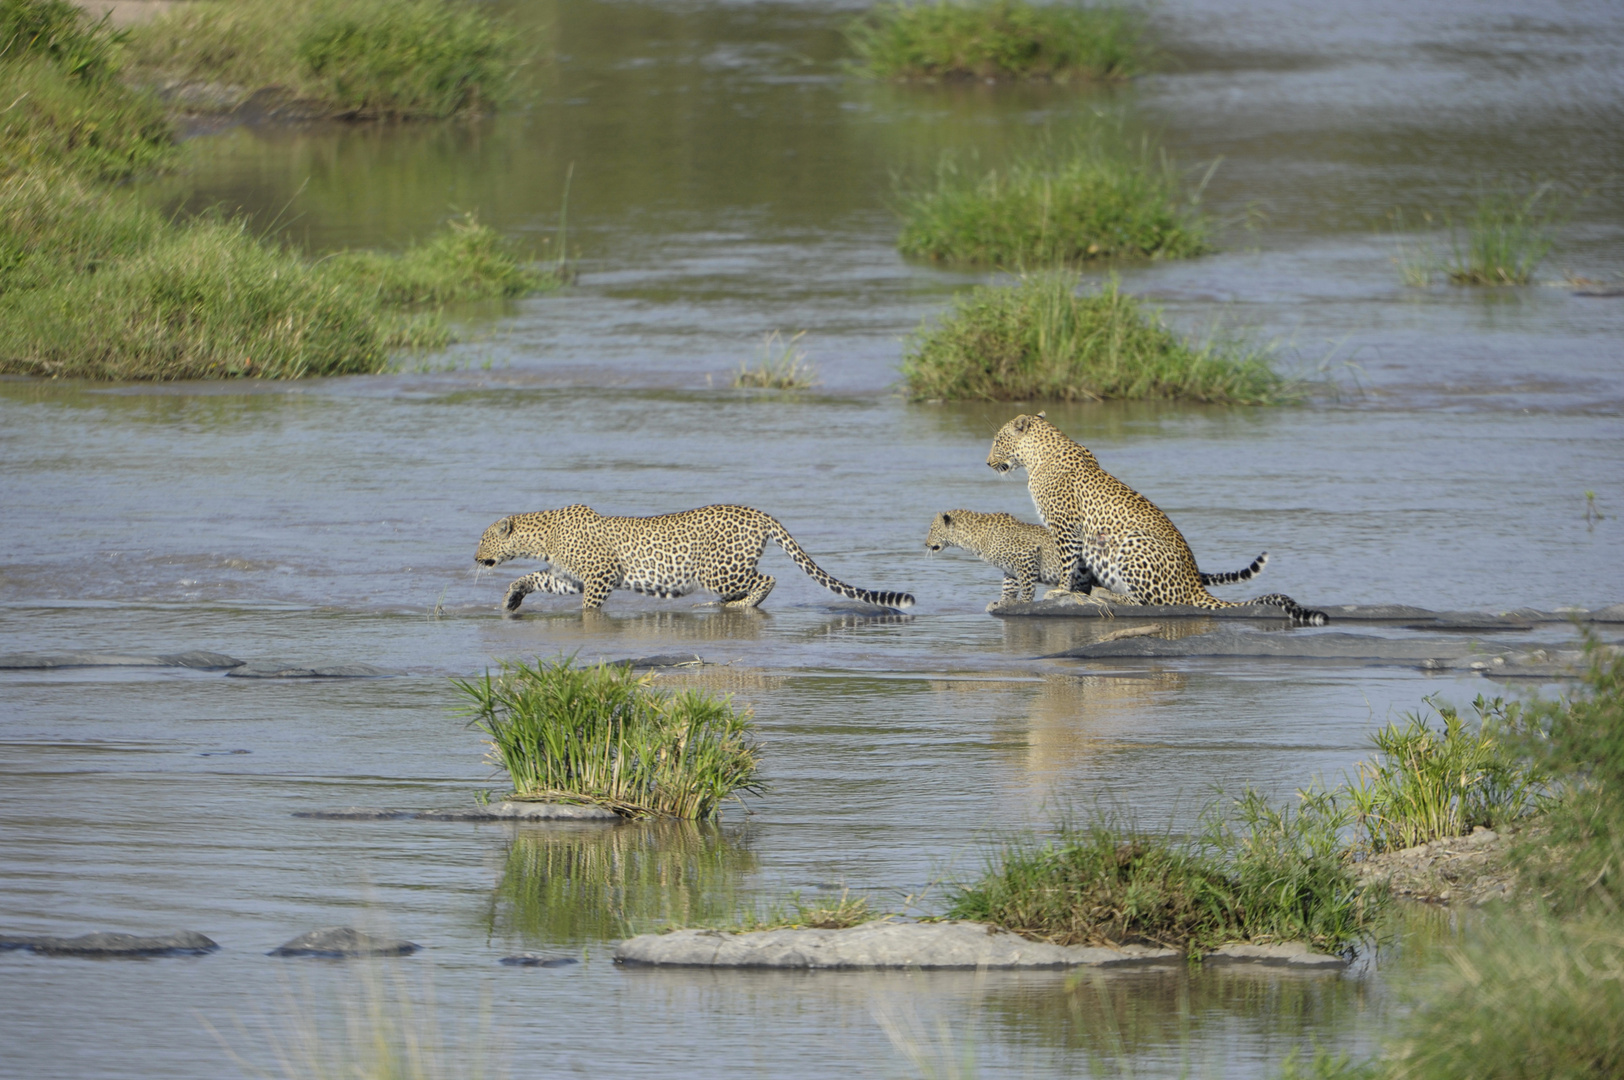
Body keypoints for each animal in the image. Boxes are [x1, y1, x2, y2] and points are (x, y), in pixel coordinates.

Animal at [928, 509, 1266, 610]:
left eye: (931, 529)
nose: (925, 543)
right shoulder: (1010, 569)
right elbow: (1008, 588)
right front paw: (1001, 602)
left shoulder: (1026, 558)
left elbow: (1027, 586)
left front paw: (1022, 603)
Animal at [980, 415, 1325, 626]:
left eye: (997, 440)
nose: (987, 462)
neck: (1036, 457)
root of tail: (1195, 586)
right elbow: (1076, 566)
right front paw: (1073, 590)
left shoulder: (1066, 526)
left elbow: (1067, 563)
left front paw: (1060, 592)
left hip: (1131, 544)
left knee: (1150, 604)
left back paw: (1107, 595)